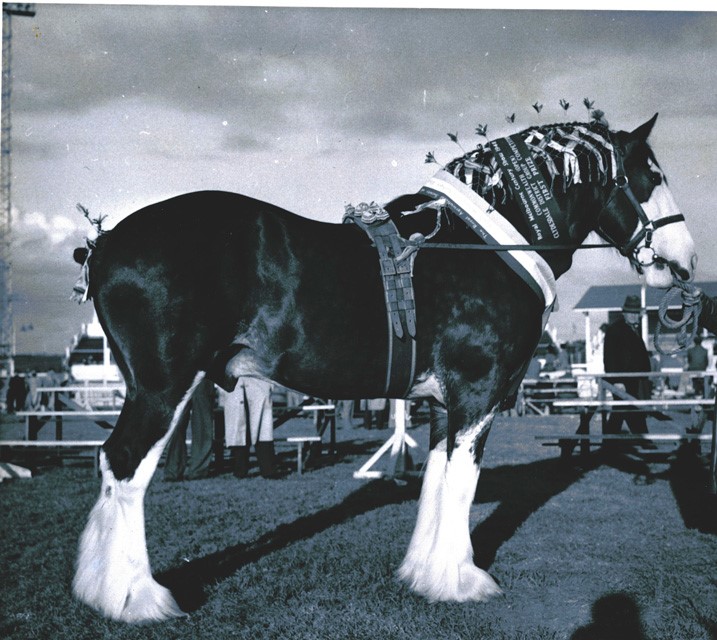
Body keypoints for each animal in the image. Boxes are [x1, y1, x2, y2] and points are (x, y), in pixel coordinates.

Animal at [71, 115, 692, 620]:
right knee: (125, 466)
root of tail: (106, 243)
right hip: (162, 388)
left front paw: (425, 574)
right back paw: (136, 598)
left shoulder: (442, 403)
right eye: (651, 174)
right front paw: (460, 581)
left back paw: (97, 590)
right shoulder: (477, 395)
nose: (685, 260)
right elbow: (462, 484)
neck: (483, 248)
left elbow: (437, 481)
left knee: (111, 467)